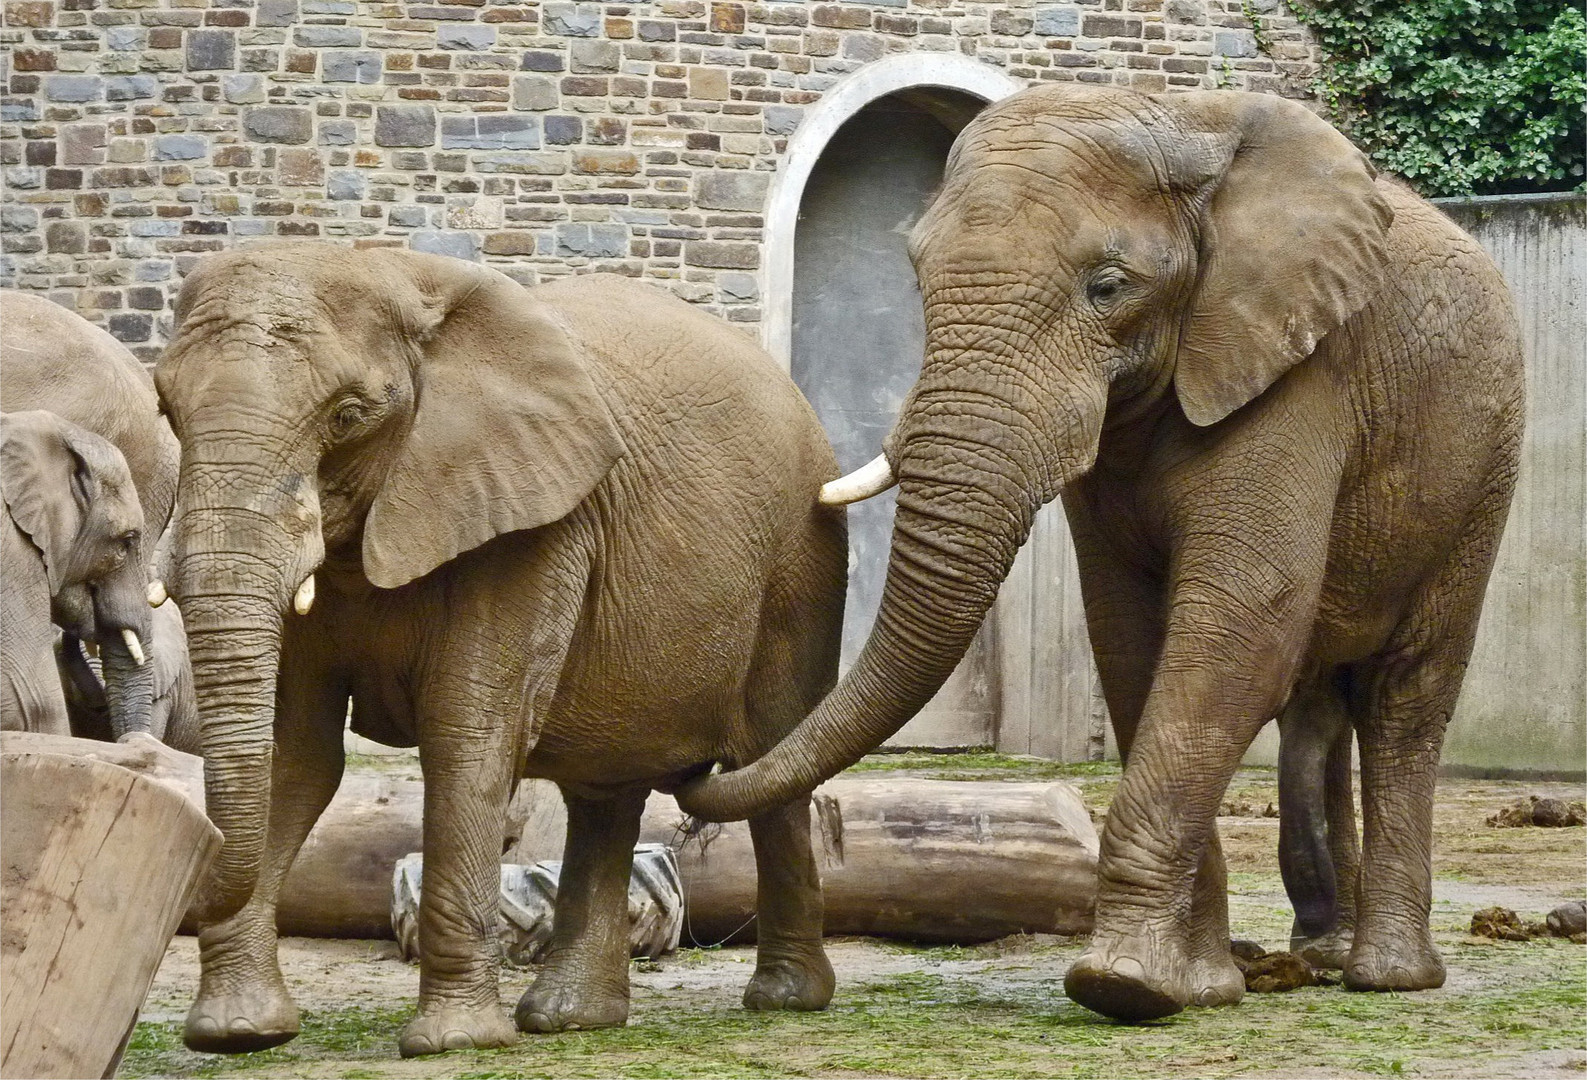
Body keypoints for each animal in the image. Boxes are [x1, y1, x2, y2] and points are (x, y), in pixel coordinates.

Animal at [159, 242, 850, 1053]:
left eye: (348, 415)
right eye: (166, 409)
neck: (403, 278)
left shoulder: (533, 519)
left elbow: (466, 737)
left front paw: (451, 1043)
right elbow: (296, 754)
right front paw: (237, 1033)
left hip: (798, 566)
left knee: (772, 755)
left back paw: (784, 999)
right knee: (606, 793)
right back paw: (569, 1018)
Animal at [679, 84, 1523, 1021]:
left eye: (1107, 287)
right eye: (917, 276)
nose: (694, 770)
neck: (1180, 125)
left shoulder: (1299, 376)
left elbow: (1238, 625)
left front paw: (1121, 984)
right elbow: (1128, 639)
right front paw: (1200, 986)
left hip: (1482, 469)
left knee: (1406, 692)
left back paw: (1387, 975)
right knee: (1317, 709)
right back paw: (1324, 956)